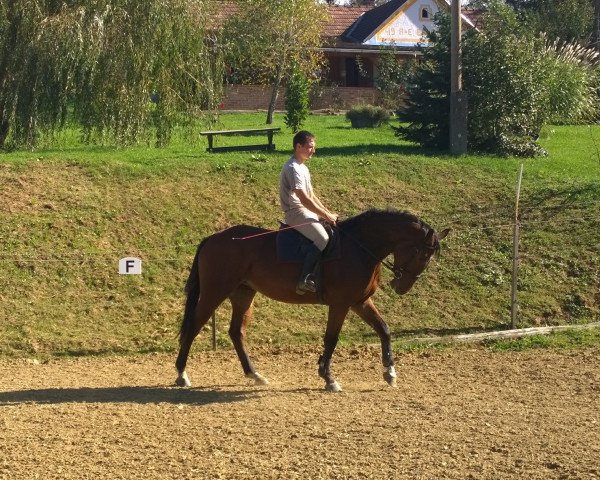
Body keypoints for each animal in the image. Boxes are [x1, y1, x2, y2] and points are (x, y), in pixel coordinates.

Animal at [176, 208, 448, 392]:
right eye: (423, 254)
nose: (401, 287)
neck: (359, 248)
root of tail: (214, 237)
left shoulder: (359, 302)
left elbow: (384, 329)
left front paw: (390, 372)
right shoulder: (340, 304)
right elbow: (331, 339)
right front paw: (328, 378)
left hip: (243, 293)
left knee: (236, 332)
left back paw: (254, 374)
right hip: (215, 291)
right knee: (194, 326)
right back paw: (181, 374)